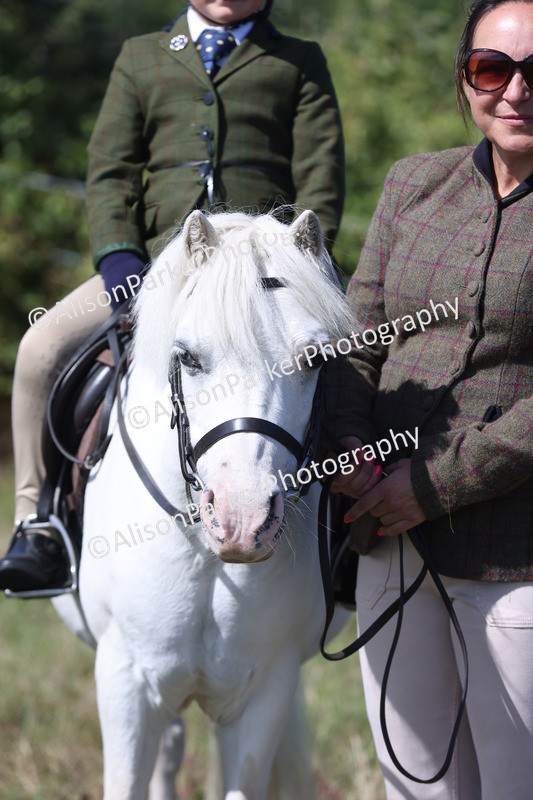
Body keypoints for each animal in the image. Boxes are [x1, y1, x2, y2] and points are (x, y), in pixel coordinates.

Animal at [53, 208, 355, 800]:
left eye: (314, 359)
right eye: (187, 358)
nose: (242, 521)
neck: (202, 549)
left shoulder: (264, 688)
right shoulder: (126, 680)